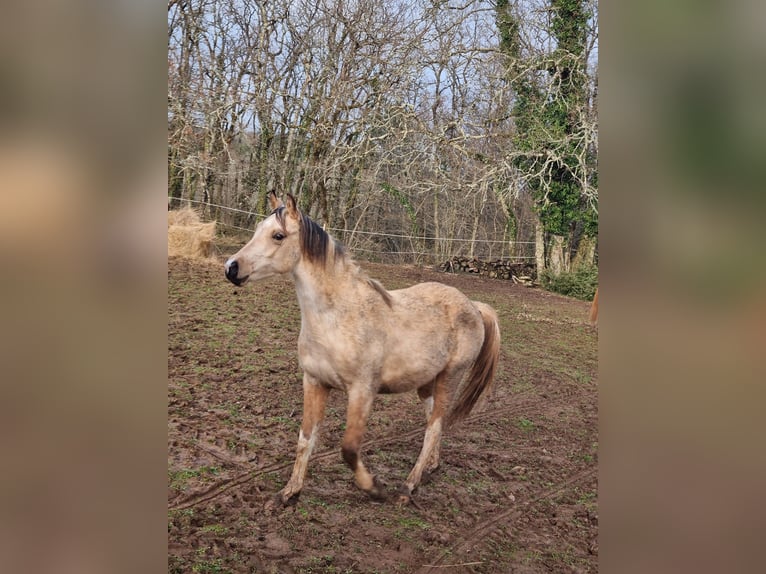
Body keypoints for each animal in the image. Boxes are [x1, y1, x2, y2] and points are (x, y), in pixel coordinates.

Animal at [224, 192, 501, 505]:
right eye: (258, 229)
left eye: (278, 235)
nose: (231, 268)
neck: (338, 317)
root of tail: (474, 306)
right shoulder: (314, 382)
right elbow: (305, 438)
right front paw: (289, 492)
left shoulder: (362, 391)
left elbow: (349, 448)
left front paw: (374, 488)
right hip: (426, 383)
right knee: (434, 422)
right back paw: (430, 467)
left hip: (449, 378)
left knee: (434, 427)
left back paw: (407, 487)